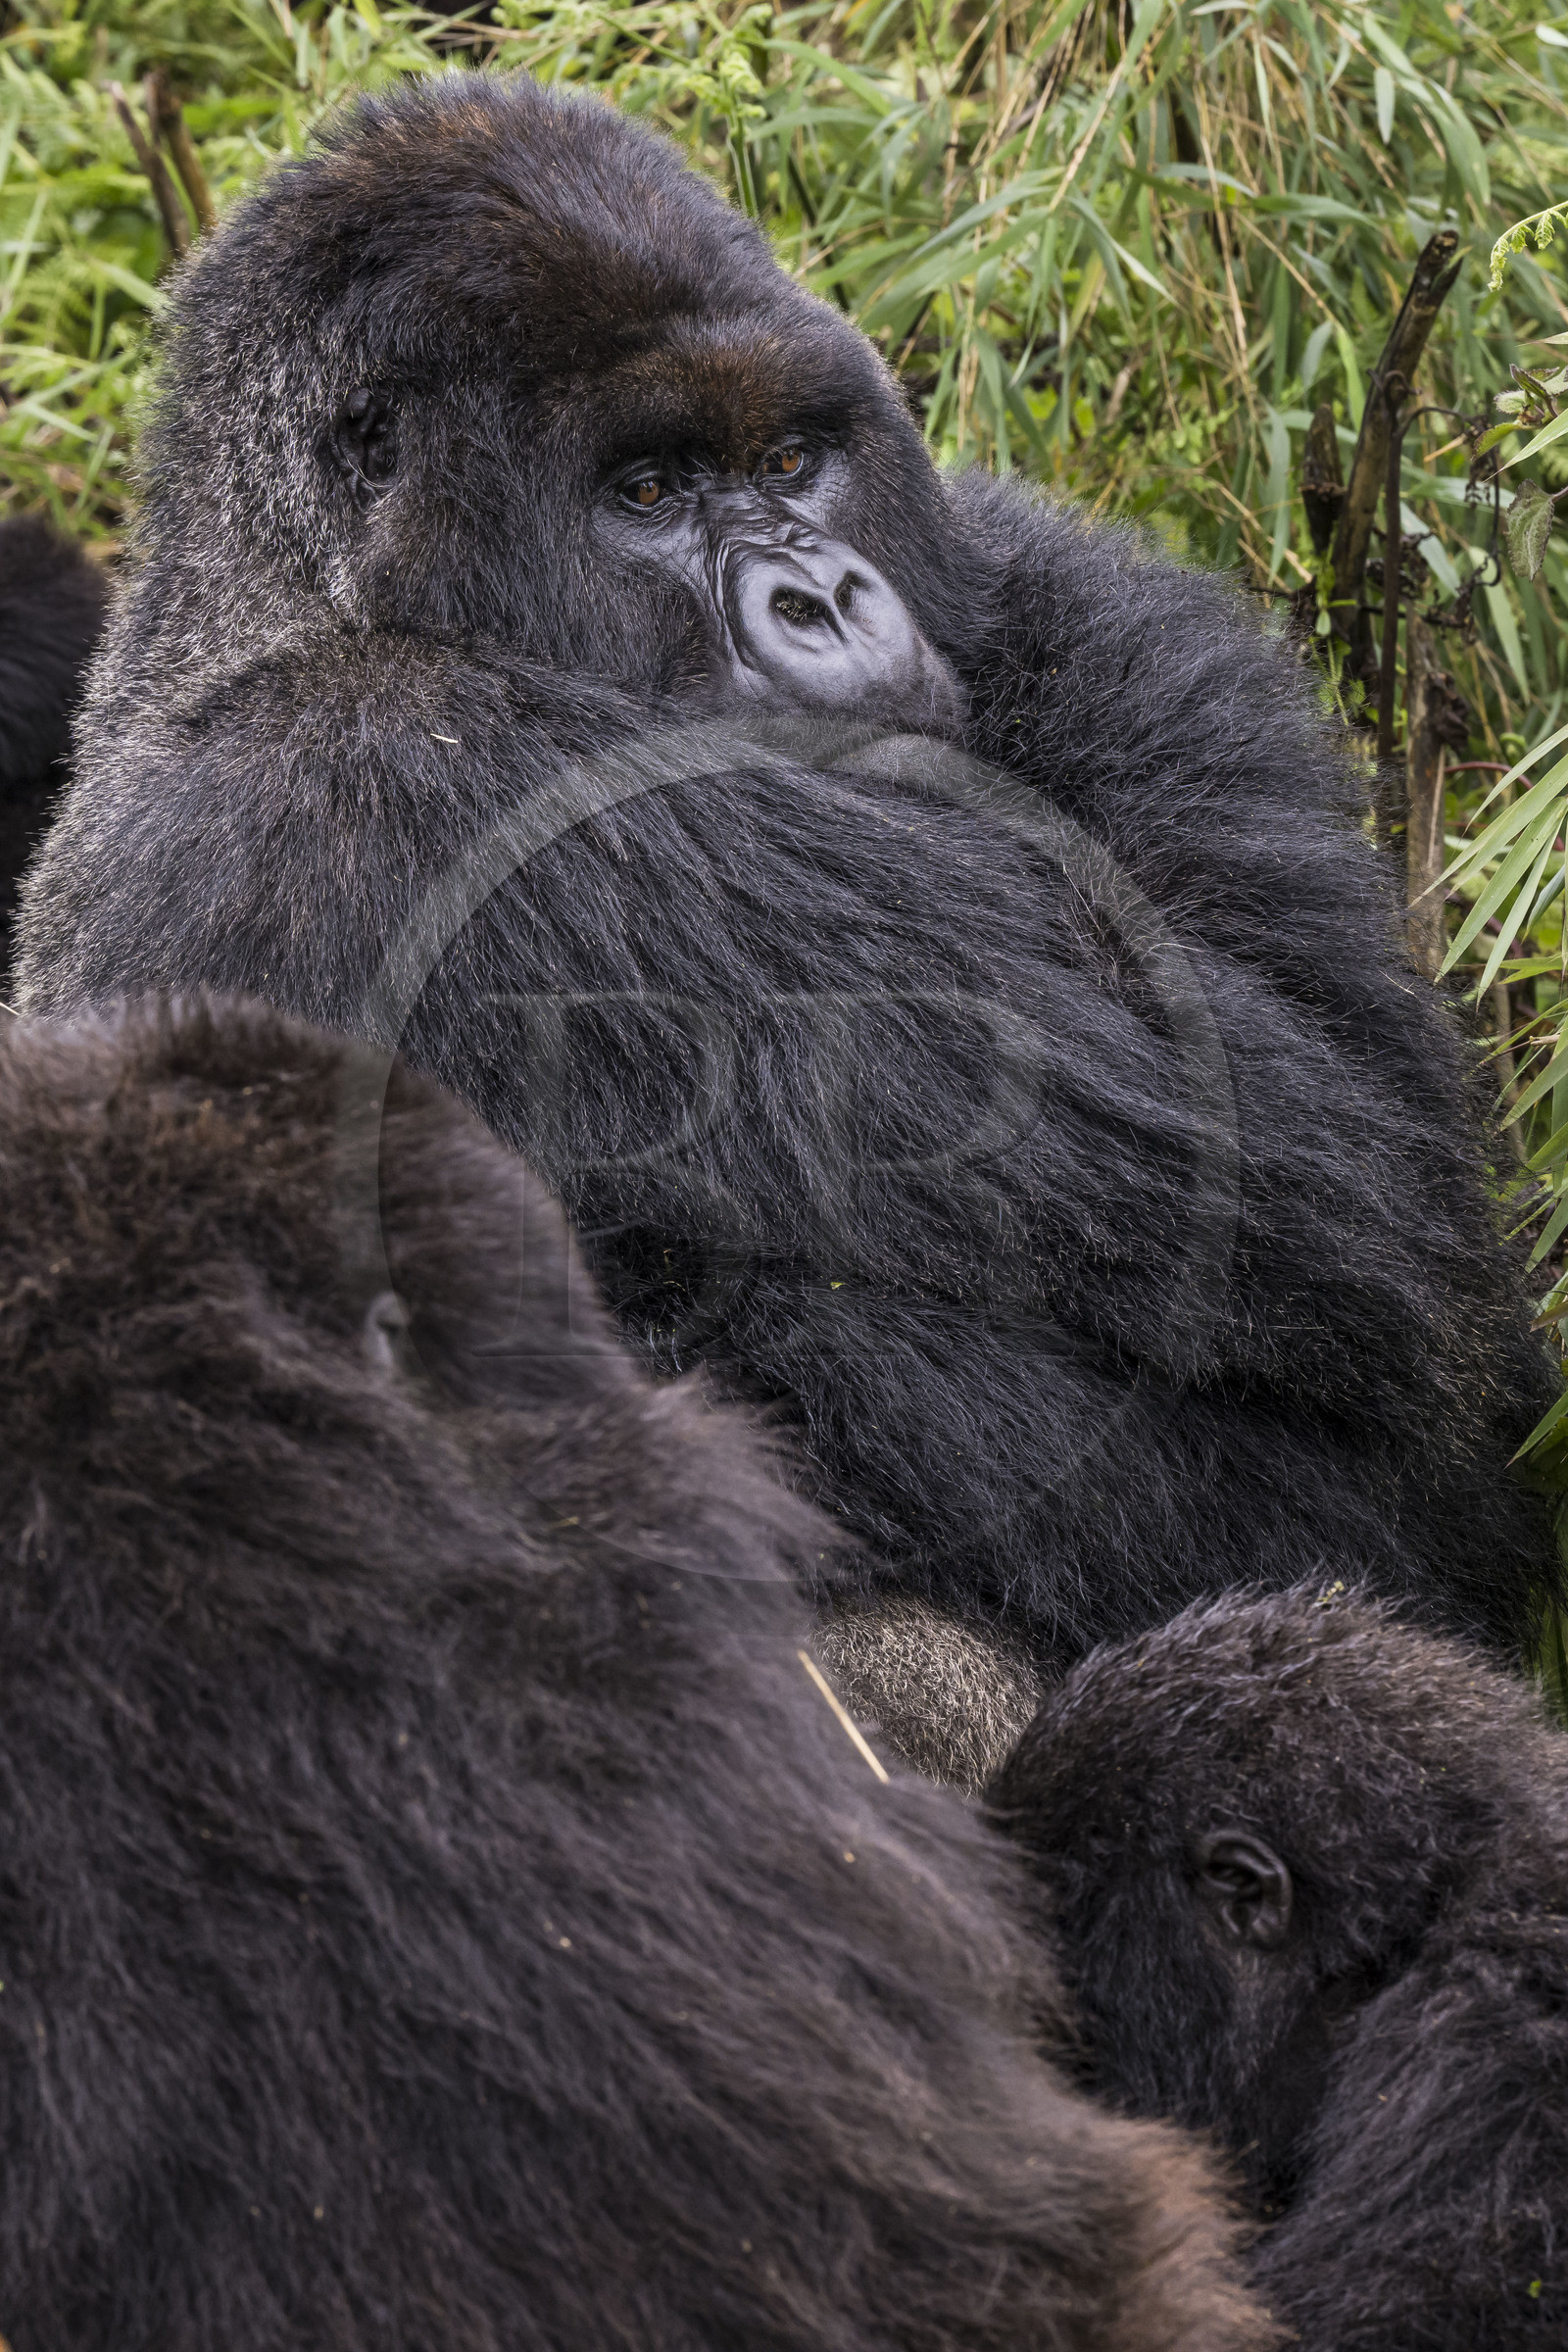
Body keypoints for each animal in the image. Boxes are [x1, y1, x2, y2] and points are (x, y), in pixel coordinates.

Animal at [13, 74, 1558, 1699]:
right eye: (645, 490)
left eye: (787, 462)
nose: (820, 597)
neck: (277, 603)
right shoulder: (378, 773)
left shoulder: (1068, 591)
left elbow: (1385, 1194)